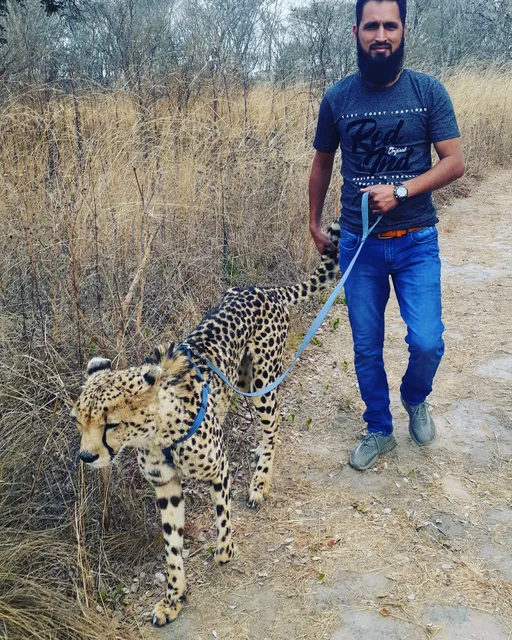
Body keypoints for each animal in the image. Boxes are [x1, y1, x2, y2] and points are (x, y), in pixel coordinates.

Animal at [71, 222, 340, 626]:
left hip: (261, 384)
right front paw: (173, 597)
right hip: (240, 382)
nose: (87, 457)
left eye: (111, 424)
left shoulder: (219, 467)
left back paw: (259, 484)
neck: (156, 434)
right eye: (79, 421)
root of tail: (260, 288)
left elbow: (223, 517)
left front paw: (225, 551)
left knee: (273, 429)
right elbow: (171, 548)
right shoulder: (165, 486)